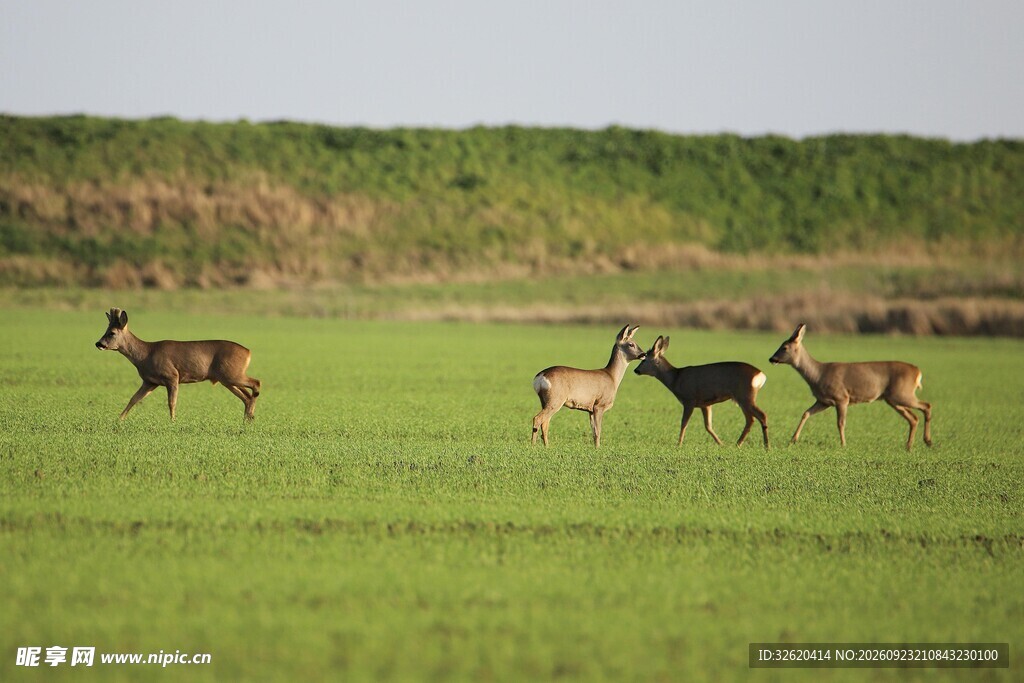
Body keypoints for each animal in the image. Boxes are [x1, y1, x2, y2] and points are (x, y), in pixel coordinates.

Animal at [95, 308, 261, 421]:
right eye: (106, 330)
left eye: (112, 333)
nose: (98, 343)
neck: (145, 355)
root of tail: (248, 352)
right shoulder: (150, 382)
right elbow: (134, 399)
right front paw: (118, 419)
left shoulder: (172, 375)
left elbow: (171, 402)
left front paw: (173, 422)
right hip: (227, 378)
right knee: (246, 396)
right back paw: (248, 419)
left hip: (232, 374)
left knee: (256, 383)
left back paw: (250, 416)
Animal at [634, 335, 769, 448]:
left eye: (644, 360)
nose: (636, 370)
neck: (675, 379)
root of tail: (761, 375)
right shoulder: (706, 404)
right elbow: (708, 426)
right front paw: (721, 444)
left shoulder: (689, 400)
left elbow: (684, 423)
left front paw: (679, 444)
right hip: (743, 398)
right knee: (751, 419)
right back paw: (738, 444)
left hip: (745, 396)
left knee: (761, 415)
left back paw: (766, 446)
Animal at [768, 323, 932, 450]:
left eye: (784, 347)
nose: (771, 358)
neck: (818, 375)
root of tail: (917, 372)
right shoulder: (823, 401)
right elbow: (806, 413)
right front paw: (792, 440)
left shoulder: (842, 397)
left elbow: (840, 423)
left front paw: (843, 444)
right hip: (893, 399)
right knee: (914, 418)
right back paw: (910, 446)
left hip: (903, 393)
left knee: (926, 406)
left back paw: (927, 441)